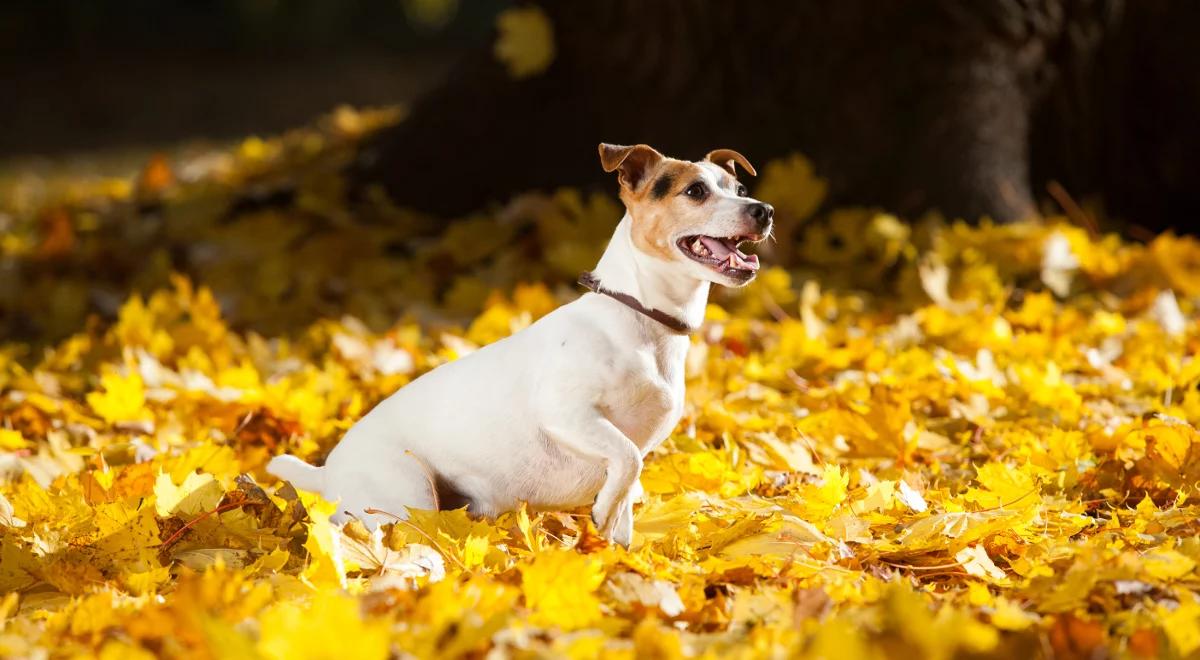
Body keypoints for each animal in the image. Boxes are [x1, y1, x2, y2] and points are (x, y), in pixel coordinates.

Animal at [267, 142, 772, 544]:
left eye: (739, 188)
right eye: (696, 192)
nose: (763, 210)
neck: (640, 316)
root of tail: (325, 473)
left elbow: (626, 497)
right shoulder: (568, 414)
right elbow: (627, 460)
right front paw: (603, 509)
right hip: (406, 493)